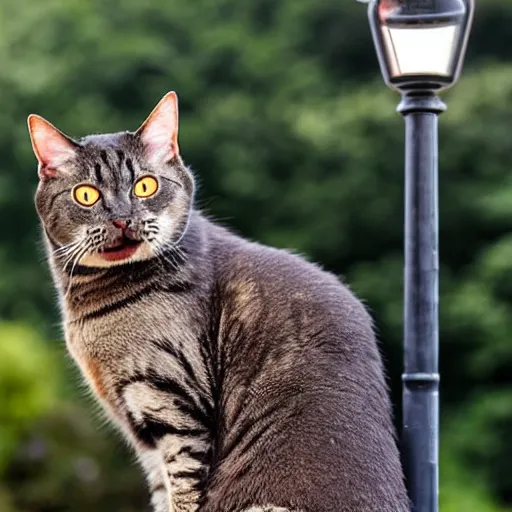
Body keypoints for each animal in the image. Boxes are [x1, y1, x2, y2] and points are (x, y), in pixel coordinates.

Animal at [29, 92, 408, 512]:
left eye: (145, 186)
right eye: (86, 194)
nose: (123, 219)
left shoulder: (174, 405)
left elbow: (183, 492)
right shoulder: (146, 438)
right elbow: (162, 495)